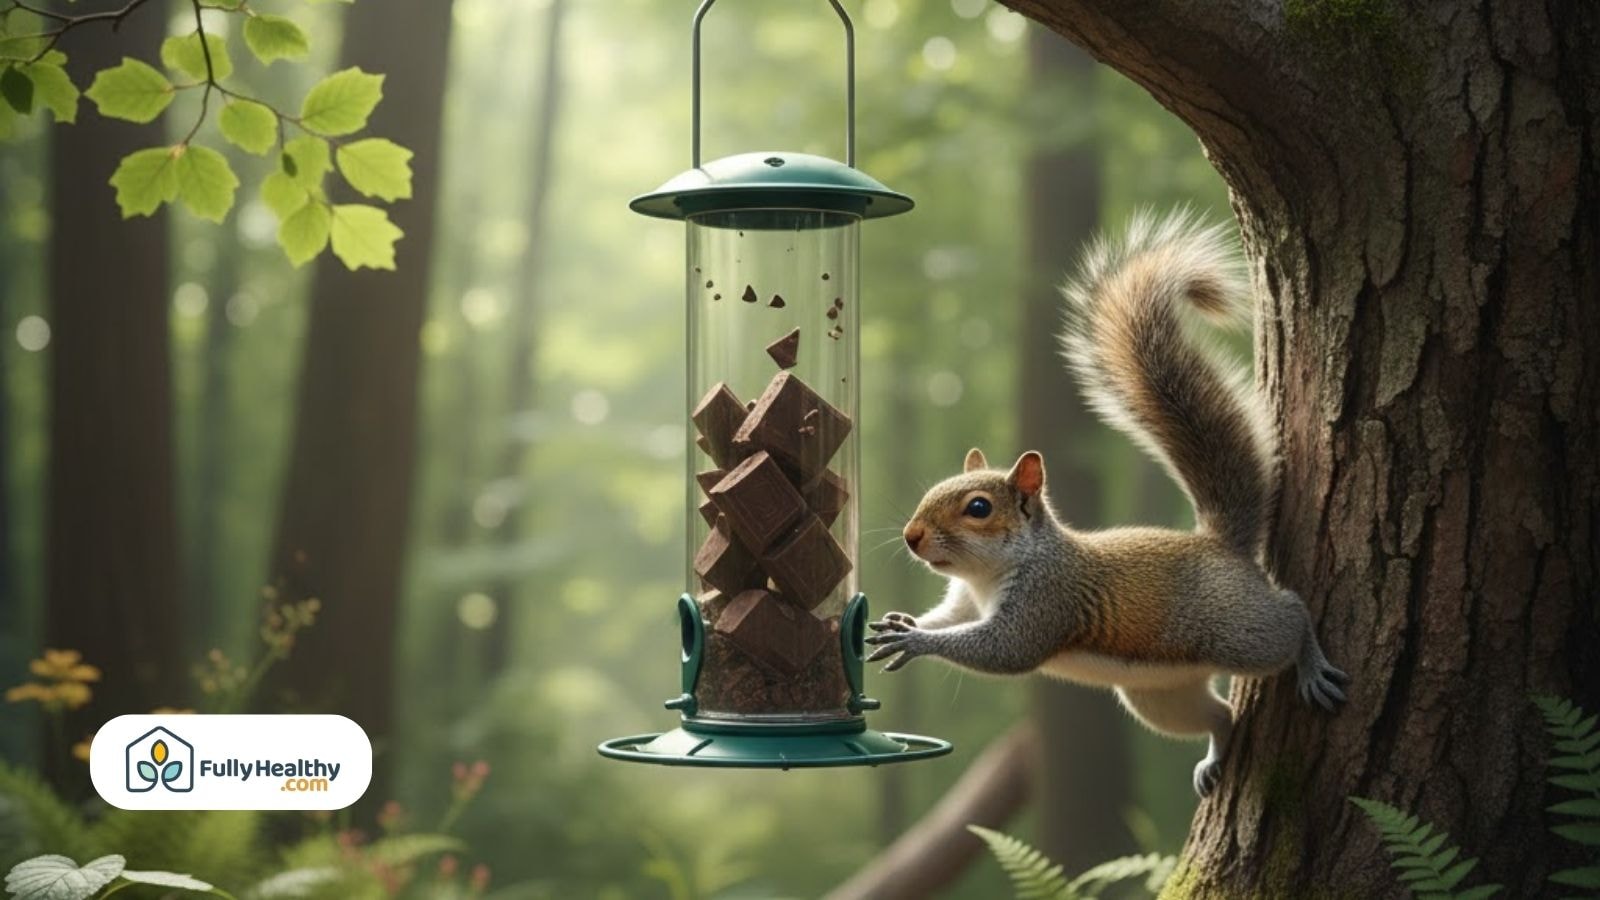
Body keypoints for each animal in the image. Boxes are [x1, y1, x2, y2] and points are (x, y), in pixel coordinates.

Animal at [866, 210, 1347, 797]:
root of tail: (1220, 545)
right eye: (930, 491)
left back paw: (1310, 663)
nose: (912, 536)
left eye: (978, 508)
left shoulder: (1047, 601)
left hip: (1236, 630)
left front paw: (916, 643)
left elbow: (1002, 650)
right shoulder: (964, 603)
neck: (988, 573)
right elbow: (947, 620)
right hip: (1159, 697)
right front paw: (904, 623)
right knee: (1220, 717)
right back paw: (1213, 757)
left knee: (1290, 617)